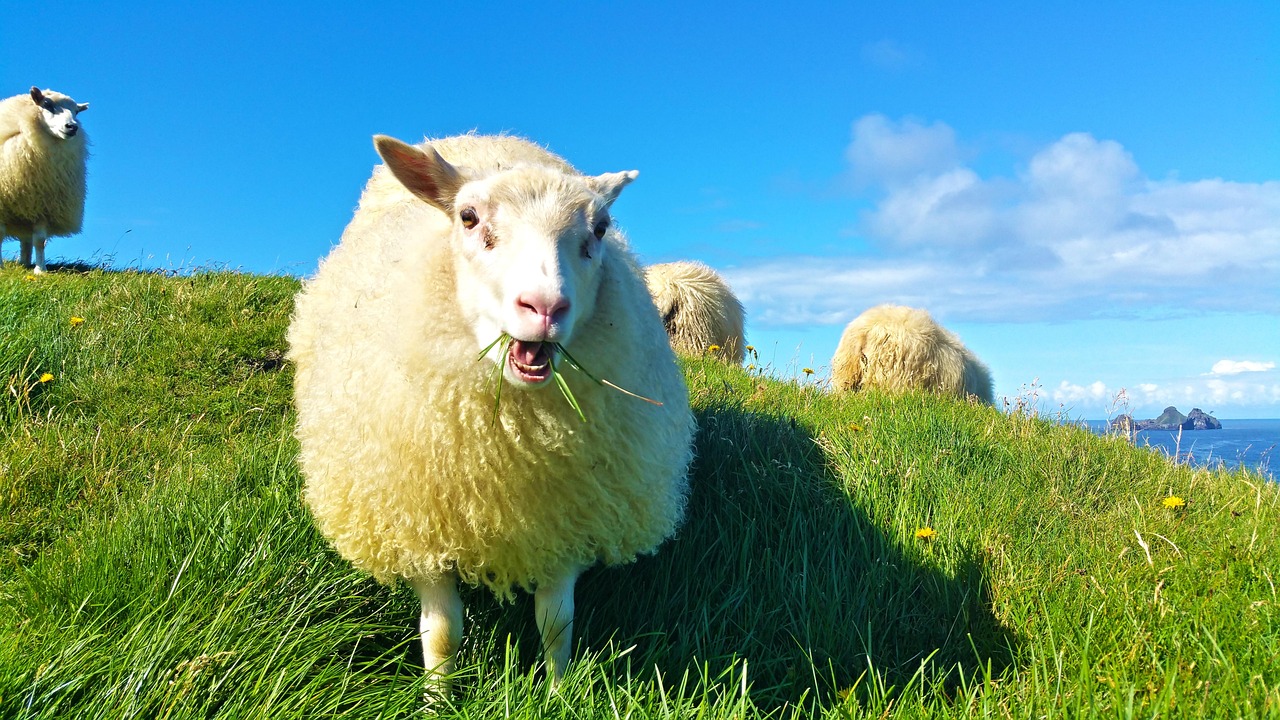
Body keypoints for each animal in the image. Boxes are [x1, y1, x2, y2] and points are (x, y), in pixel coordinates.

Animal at [0, 87, 89, 273]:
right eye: (47, 104)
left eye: (76, 111)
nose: (72, 127)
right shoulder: (3, 206)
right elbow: (0, 234)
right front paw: (0, 267)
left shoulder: (44, 205)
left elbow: (39, 240)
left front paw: (41, 270)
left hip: (28, 211)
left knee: (26, 239)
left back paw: (25, 263)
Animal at [287, 133, 696, 701]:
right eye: (468, 217)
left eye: (599, 228)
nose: (544, 308)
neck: (508, 447)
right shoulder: (419, 520)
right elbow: (442, 632)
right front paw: (437, 698)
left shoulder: (566, 516)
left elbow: (556, 623)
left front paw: (558, 694)